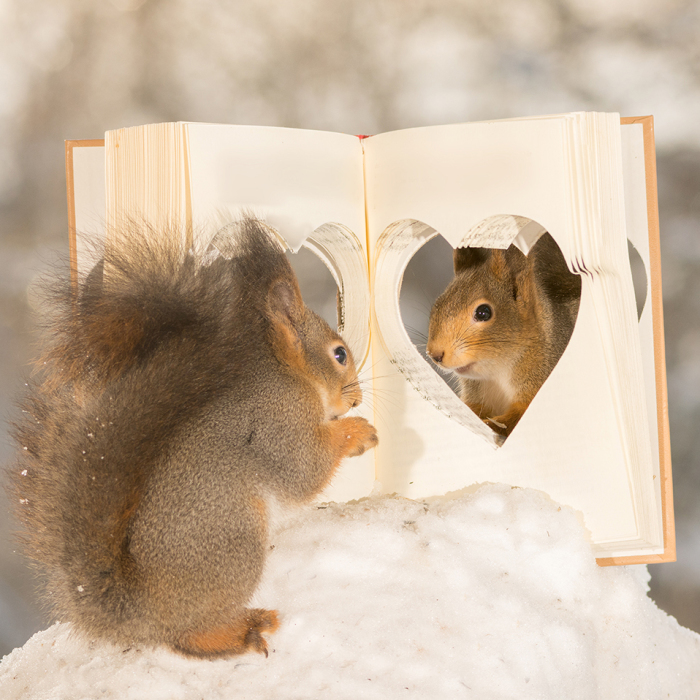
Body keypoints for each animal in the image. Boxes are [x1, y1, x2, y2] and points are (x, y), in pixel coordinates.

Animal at [8, 218, 378, 659]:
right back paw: (240, 632)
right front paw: (358, 432)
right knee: (187, 635)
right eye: (339, 355)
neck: (291, 377)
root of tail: (141, 608)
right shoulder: (278, 422)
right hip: (234, 541)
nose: (356, 400)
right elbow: (304, 470)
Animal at [426, 232, 581, 438]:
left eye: (483, 312)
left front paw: (493, 425)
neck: (498, 372)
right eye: (438, 305)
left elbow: (516, 418)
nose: (434, 355)